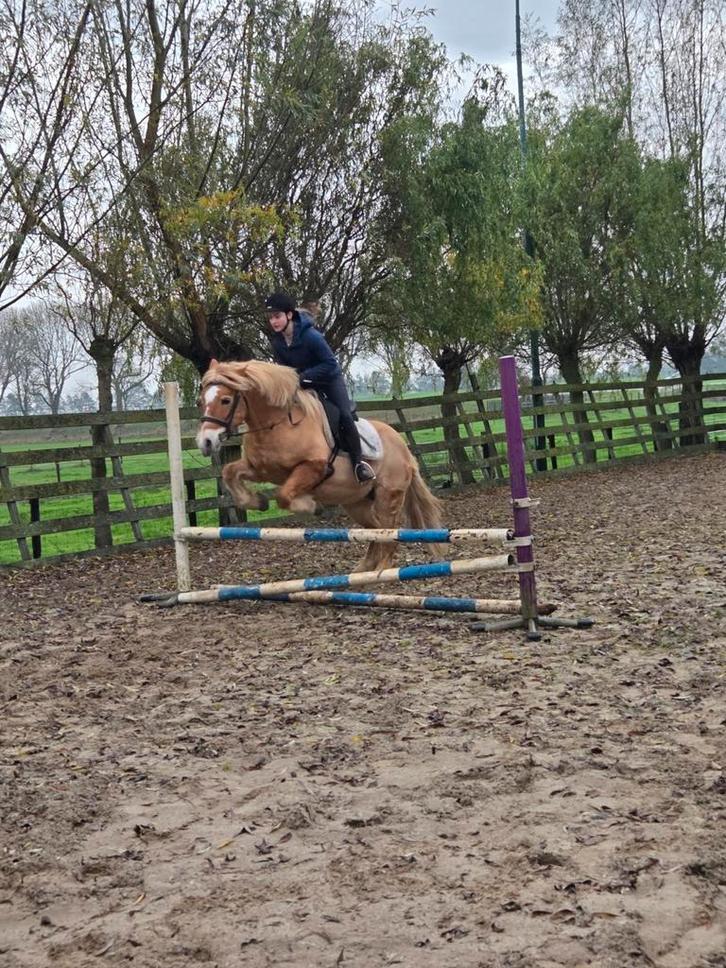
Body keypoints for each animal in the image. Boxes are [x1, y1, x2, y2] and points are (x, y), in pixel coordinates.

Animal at [196, 359, 443, 572]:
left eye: (225, 400)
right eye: (200, 402)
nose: (206, 442)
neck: (276, 424)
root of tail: (404, 449)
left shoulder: (315, 467)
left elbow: (284, 496)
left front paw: (310, 506)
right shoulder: (260, 469)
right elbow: (229, 472)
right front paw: (257, 501)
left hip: (387, 497)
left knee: (389, 532)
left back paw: (381, 571)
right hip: (356, 502)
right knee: (374, 529)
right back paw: (363, 569)